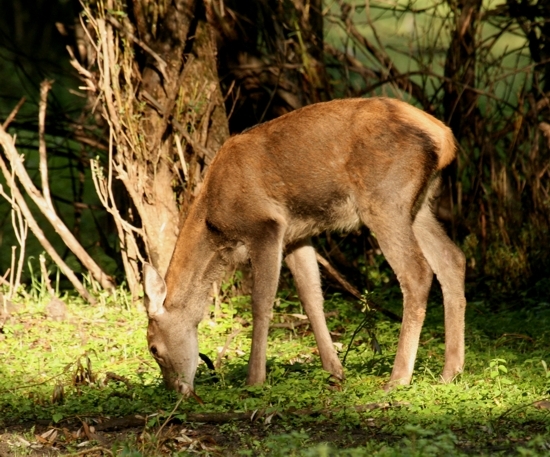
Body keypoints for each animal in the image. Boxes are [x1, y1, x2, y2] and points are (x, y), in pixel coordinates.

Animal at [144, 96, 468, 396]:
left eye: (153, 348)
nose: (176, 390)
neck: (215, 223)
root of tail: (445, 138)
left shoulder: (265, 225)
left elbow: (261, 302)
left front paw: (255, 379)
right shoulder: (296, 236)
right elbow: (311, 297)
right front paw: (335, 370)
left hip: (385, 198)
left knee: (417, 272)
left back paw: (398, 378)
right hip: (419, 205)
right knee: (453, 259)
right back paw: (450, 371)